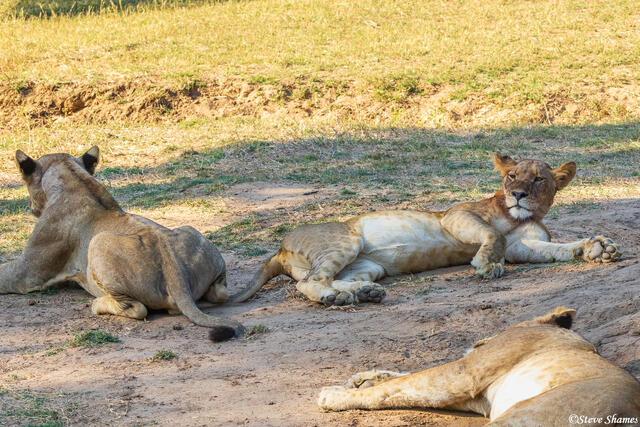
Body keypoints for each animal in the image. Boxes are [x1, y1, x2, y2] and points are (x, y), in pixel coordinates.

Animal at [0, 147, 244, 341]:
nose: (29, 206)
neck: (75, 180)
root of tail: (175, 271)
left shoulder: (26, 273)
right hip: (191, 231)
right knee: (220, 293)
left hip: (98, 242)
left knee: (138, 309)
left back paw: (98, 304)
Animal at [232, 153, 621, 306]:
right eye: (512, 175)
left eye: (539, 179)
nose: (519, 195)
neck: (521, 217)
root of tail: (279, 248)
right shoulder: (457, 216)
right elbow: (491, 235)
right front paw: (486, 266)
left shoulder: (521, 247)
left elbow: (558, 249)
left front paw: (596, 248)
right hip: (346, 241)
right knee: (310, 283)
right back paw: (338, 298)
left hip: (367, 264)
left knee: (326, 279)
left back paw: (363, 293)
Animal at [318, 307, 640, 425]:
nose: (477, 342)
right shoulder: (478, 396)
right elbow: (405, 381)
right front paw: (363, 378)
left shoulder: (465, 374)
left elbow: (406, 382)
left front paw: (334, 395)